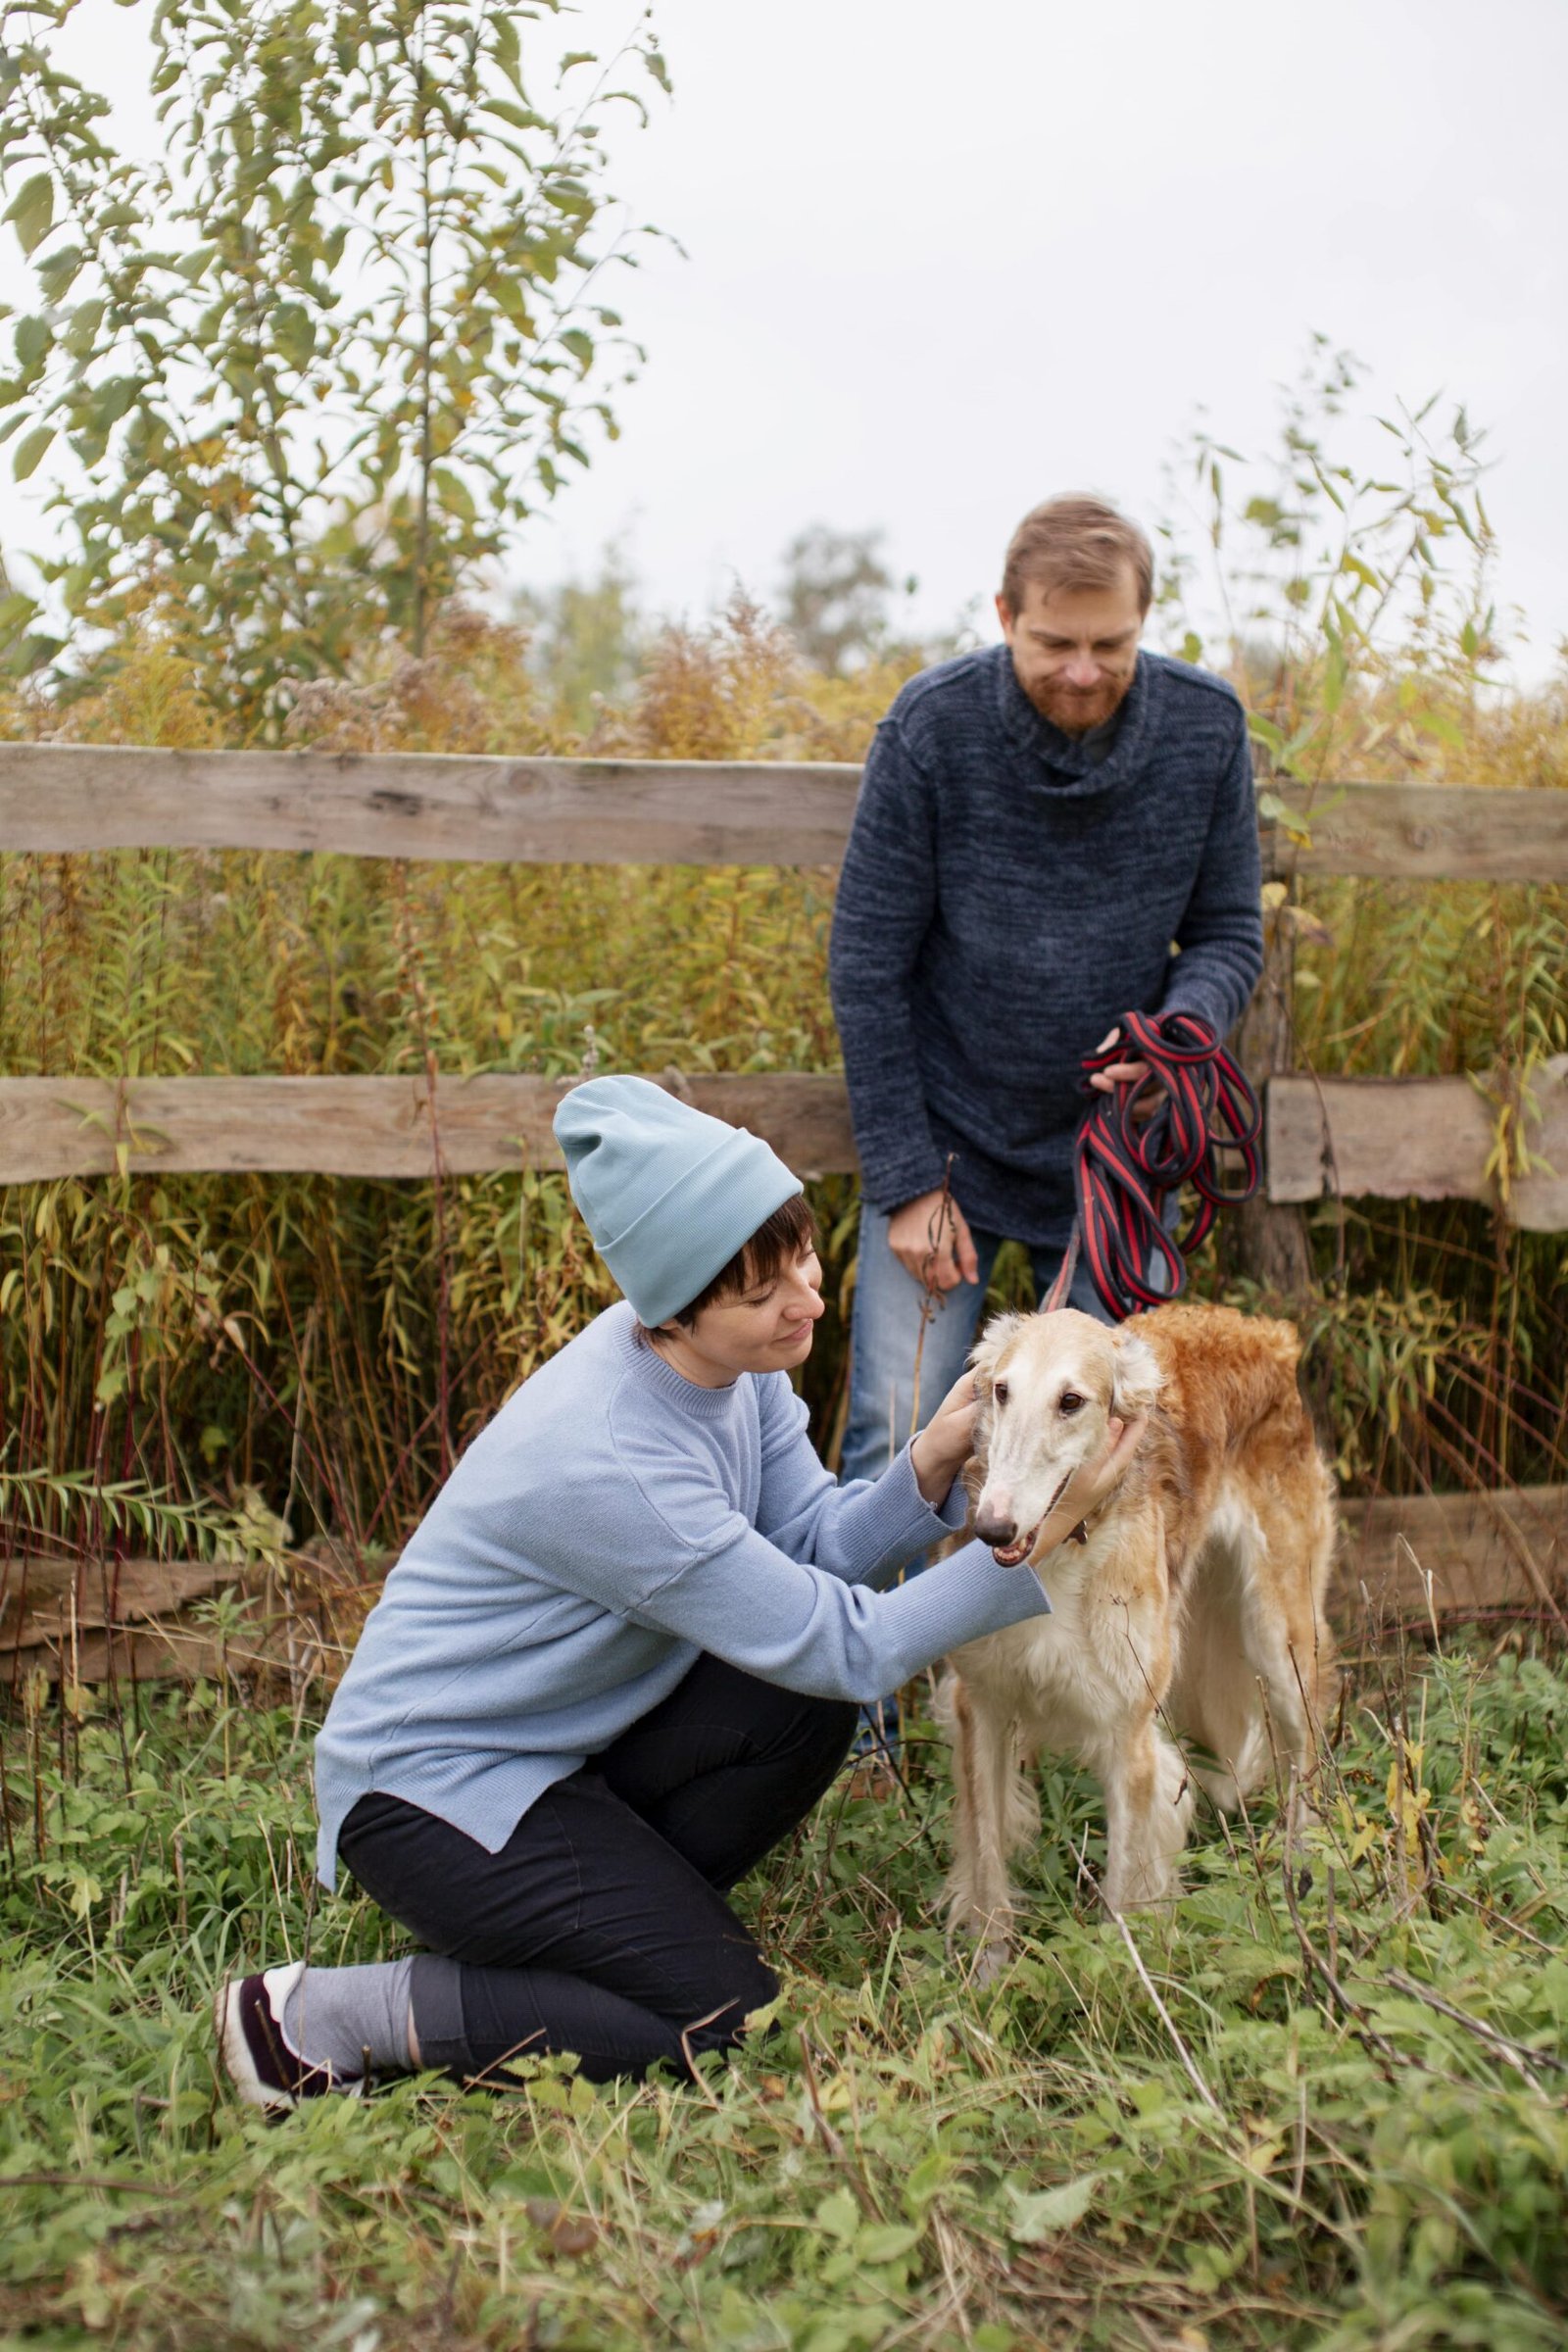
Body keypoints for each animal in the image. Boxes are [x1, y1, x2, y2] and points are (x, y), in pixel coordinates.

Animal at [942, 1301, 1336, 1973]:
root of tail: (1266, 1332)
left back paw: (1300, 1877)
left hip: (1278, 1642)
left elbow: (1124, 1893)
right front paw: (987, 1981)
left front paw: (1123, 1980)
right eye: (1001, 1391)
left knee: (1304, 1761)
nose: (992, 1529)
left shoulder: (1127, 1732)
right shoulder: (983, 1705)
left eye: (1071, 1401)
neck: (1060, 1555)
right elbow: (989, 1868)